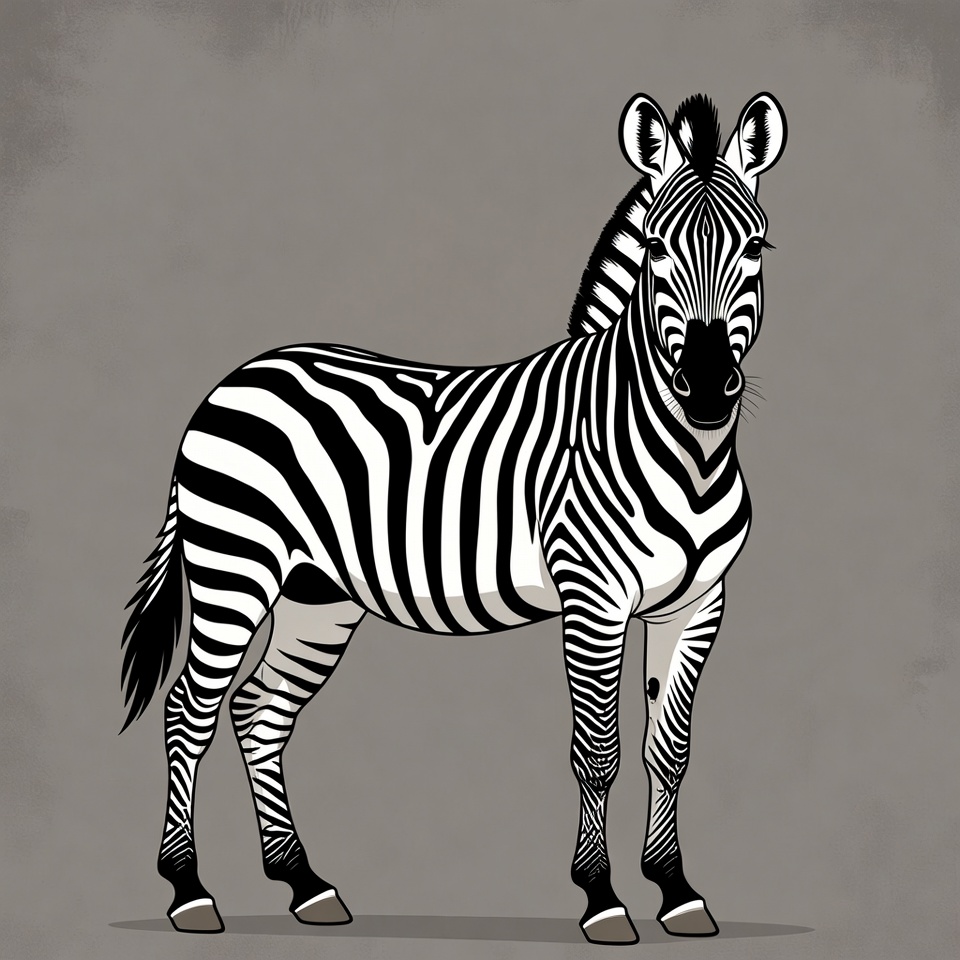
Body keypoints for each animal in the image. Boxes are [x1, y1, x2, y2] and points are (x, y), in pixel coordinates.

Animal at [121, 91, 786, 945]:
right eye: (656, 250)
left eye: (756, 247)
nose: (704, 386)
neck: (684, 454)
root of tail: (233, 379)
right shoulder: (594, 596)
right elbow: (598, 749)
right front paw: (601, 899)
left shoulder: (699, 604)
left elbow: (668, 750)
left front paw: (677, 891)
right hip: (232, 568)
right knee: (189, 710)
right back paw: (188, 890)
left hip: (316, 595)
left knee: (259, 712)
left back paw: (303, 883)